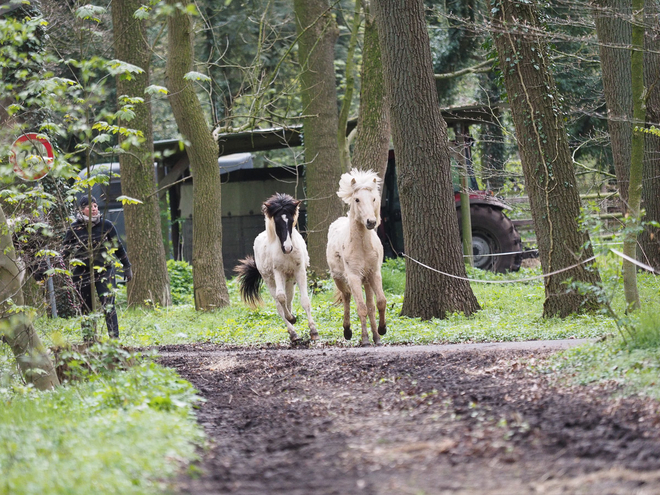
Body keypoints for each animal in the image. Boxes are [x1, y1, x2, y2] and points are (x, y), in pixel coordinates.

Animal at [236, 194, 318, 344]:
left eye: (291, 220)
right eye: (277, 221)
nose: (287, 247)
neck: (287, 254)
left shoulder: (299, 271)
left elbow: (305, 301)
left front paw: (314, 331)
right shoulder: (278, 272)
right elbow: (281, 299)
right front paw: (292, 319)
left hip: (290, 281)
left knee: (289, 301)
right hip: (271, 281)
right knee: (280, 305)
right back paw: (293, 332)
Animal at [324, 169, 386, 346]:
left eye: (373, 198)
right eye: (357, 199)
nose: (371, 222)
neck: (362, 247)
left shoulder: (374, 274)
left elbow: (380, 302)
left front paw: (382, 331)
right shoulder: (353, 277)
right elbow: (361, 307)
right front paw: (364, 339)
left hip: (367, 281)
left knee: (371, 305)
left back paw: (376, 337)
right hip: (340, 279)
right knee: (347, 297)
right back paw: (347, 331)